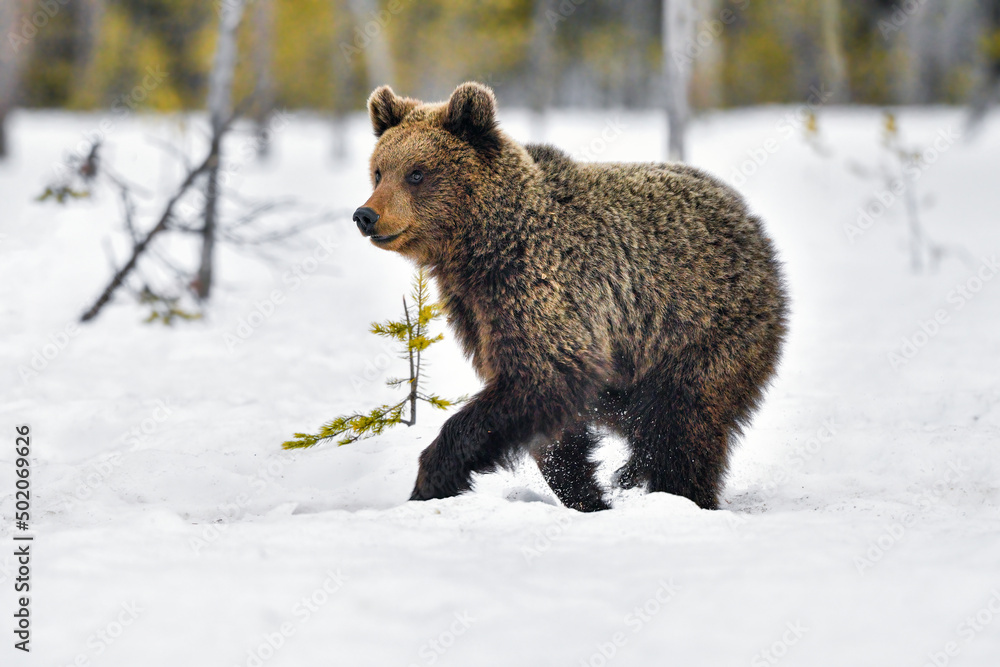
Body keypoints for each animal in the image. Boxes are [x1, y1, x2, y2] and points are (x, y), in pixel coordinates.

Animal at [353, 81, 788, 512]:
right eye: (378, 171)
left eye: (417, 173)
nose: (366, 215)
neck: (482, 249)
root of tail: (750, 220)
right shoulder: (479, 310)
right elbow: (553, 428)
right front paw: (585, 493)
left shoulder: (542, 289)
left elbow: (541, 378)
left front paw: (431, 478)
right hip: (637, 363)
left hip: (698, 328)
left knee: (682, 424)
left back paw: (682, 493)